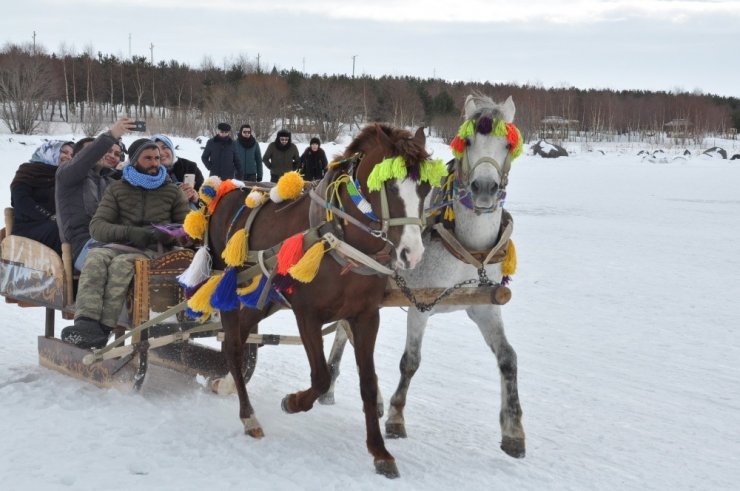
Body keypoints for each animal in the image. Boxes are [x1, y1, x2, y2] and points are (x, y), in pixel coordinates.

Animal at [205, 125, 434, 478]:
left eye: (425, 186)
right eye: (388, 184)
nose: (413, 253)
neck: (339, 238)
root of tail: (228, 191)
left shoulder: (366, 316)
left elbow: (368, 383)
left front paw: (379, 451)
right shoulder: (307, 314)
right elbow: (322, 377)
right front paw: (293, 401)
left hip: (263, 298)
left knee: (239, 339)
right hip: (229, 287)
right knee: (232, 346)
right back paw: (248, 416)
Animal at [322, 94, 528, 460]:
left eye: (507, 144)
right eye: (468, 141)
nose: (485, 188)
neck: (467, 244)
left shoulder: (484, 305)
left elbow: (508, 358)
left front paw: (513, 431)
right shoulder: (421, 303)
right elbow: (410, 361)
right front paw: (396, 416)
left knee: (345, 330)